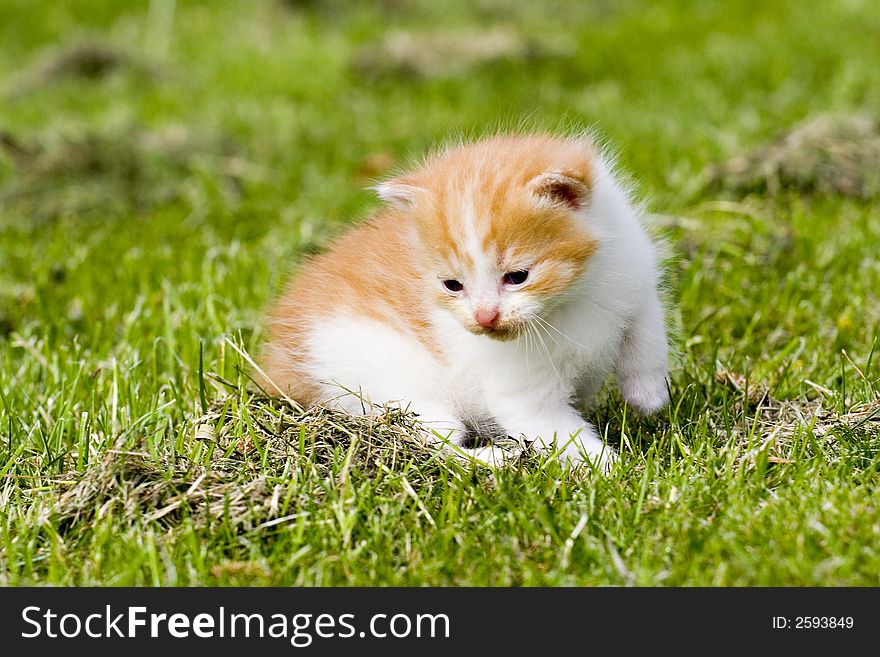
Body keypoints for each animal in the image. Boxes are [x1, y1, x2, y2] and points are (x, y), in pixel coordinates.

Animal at [258, 132, 672, 466]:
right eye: (452, 285)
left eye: (517, 277)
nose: (485, 317)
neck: (569, 302)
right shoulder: (523, 395)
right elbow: (556, 431)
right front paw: (612, 470)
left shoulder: (632, 271)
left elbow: (645, 331)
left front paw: (648, 395)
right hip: (384, 390)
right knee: (437, 445)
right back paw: (500, 459)